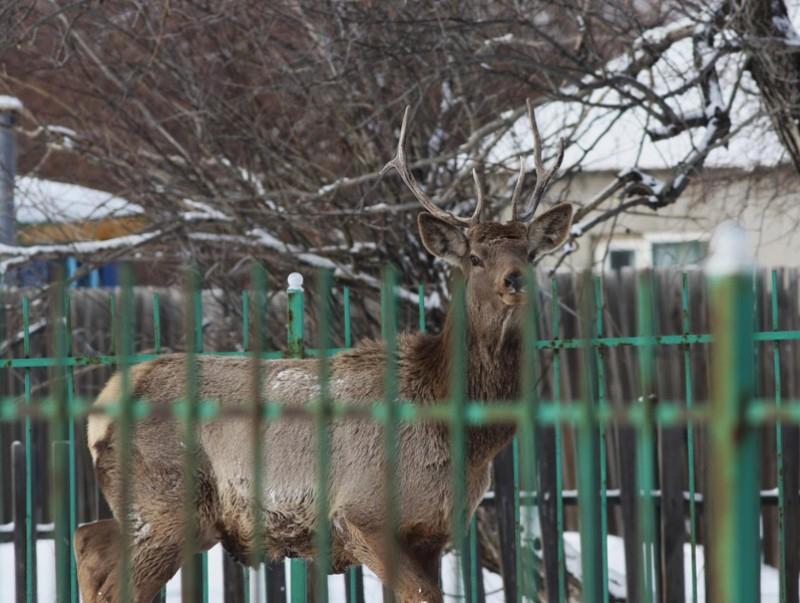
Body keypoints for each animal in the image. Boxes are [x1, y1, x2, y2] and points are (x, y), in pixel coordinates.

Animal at [73, 101, 568, 600]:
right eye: (475, 258)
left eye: (530, 254)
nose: (515, 280)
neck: (458, 432)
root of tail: (103, 406)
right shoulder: (362, 514)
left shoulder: (434, 533)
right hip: (167, 503)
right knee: (114, 580)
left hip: (154, 511)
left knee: (87, 539)